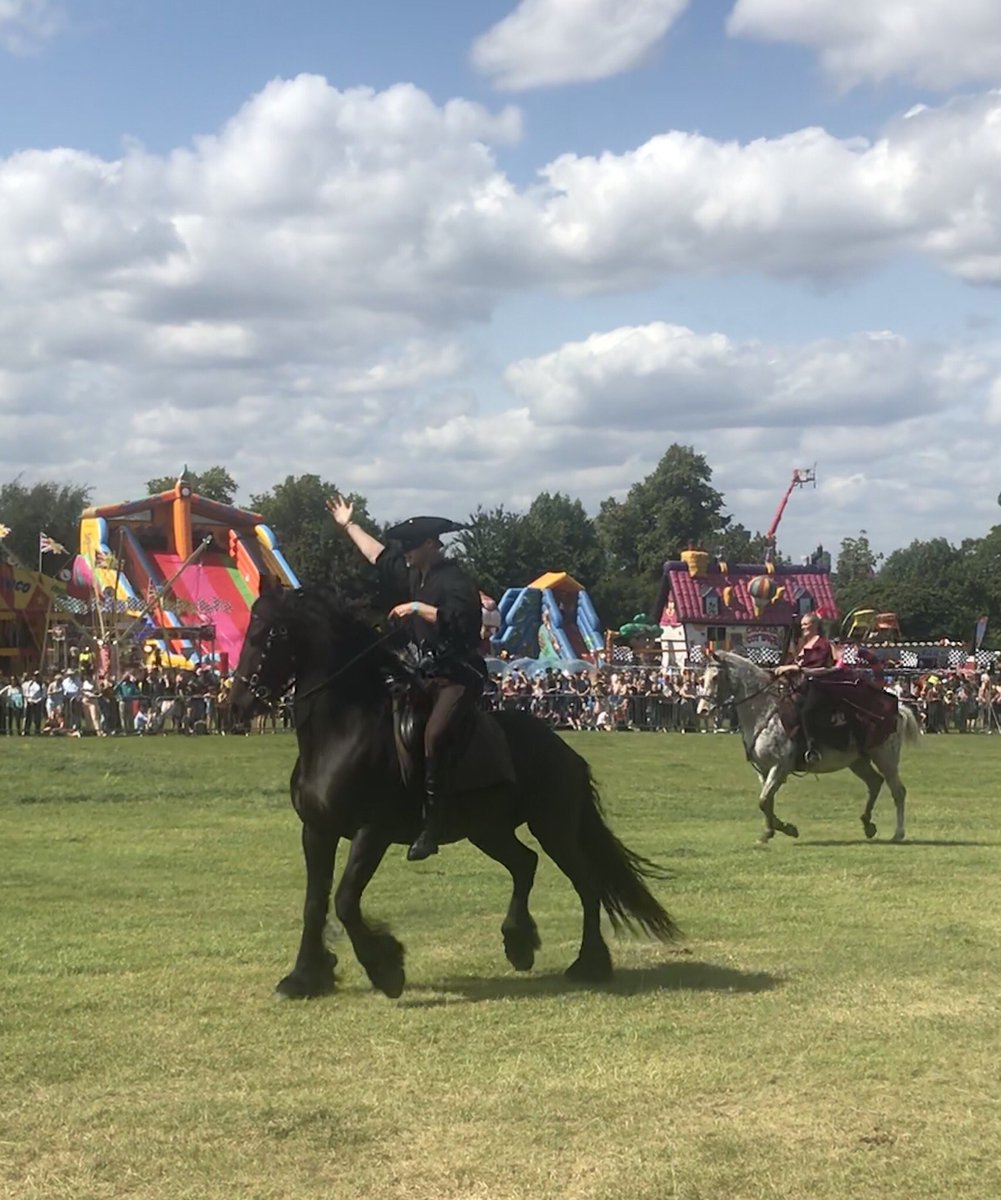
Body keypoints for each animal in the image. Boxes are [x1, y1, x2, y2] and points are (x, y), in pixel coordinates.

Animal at [230, 585, 678, 999]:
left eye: (270, 634)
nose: (239, 705)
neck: (343, 732)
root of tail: (563, 749)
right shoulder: (317, 831)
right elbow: (315, 904)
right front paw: (304, 977)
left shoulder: (371, 832)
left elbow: (344, 900)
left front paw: (386, 969)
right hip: (488, 829)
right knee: (525, 864)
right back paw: (519, 943)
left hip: (553, 827)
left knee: (585, 884)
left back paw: (589, 964)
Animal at [698, 651, 921, 845]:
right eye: (702, 679)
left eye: (715, 677)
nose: (703, 710)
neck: (765, 711)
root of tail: (897, 710)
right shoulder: (764, 770)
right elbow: (766, 801)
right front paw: (769, 832)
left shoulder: (779, 768)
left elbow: (764, 801)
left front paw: (787, 829)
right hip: (858, 761)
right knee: (875, 783)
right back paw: (867, 825)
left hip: (885, 759)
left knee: (898, 792)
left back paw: (898, 833)